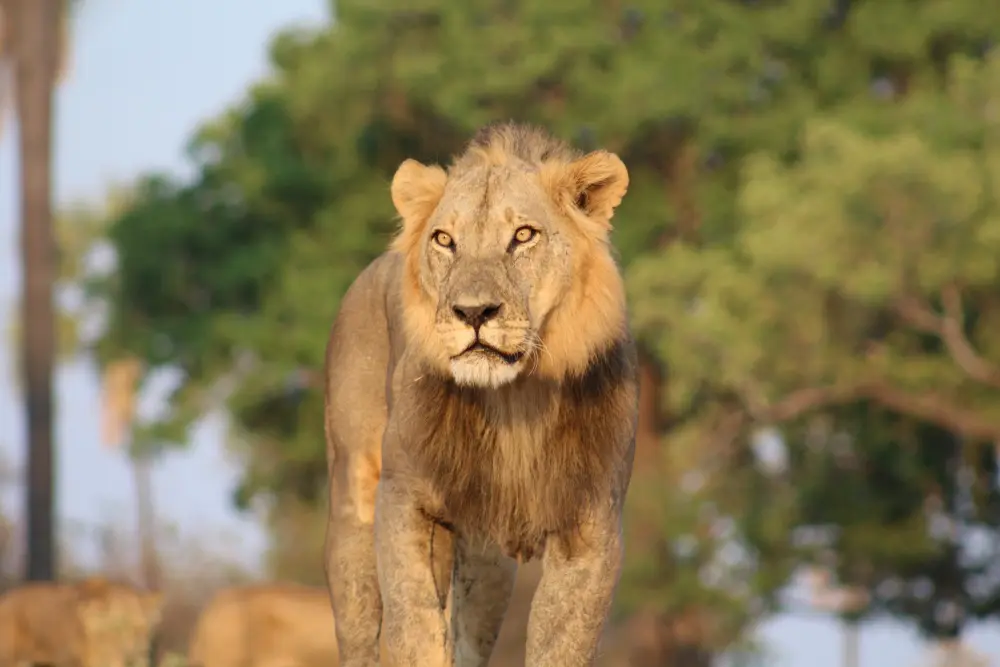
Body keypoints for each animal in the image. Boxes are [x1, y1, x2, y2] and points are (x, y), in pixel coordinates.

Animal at [324, 121, 638, 667]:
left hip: (488, 562)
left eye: (524, 235)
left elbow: (560, 645)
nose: (472, 312)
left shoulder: (592, 526)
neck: (515, 399)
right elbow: (415, 629)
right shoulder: (404, 501)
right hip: (352, 509)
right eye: (444, 240)